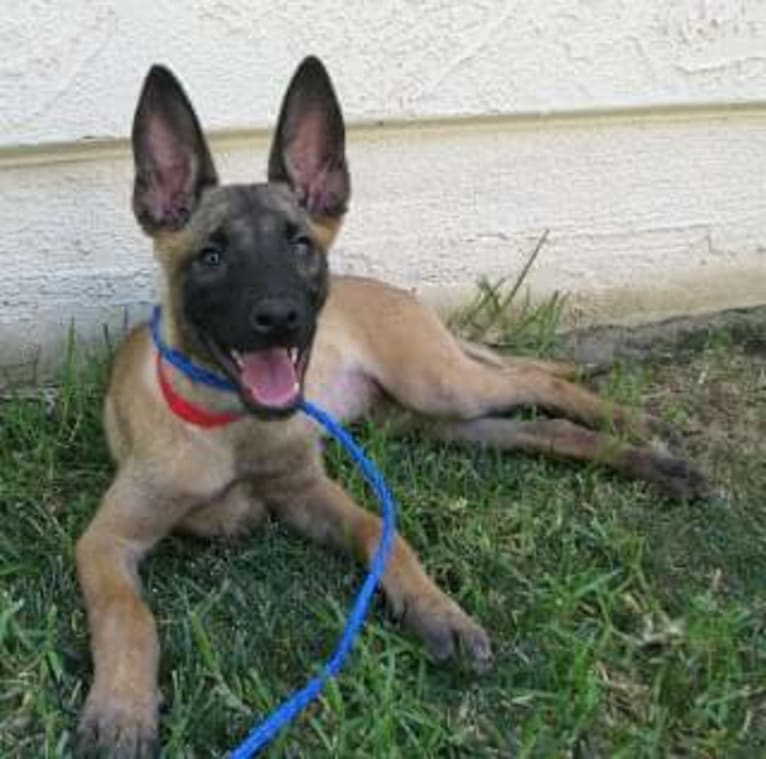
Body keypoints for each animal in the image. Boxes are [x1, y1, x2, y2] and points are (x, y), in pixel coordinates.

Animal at [75, 56, 712, 756]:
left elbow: (383, 533)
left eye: (300, 244)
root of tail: (395, 293)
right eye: (211, 256)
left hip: (439, 382)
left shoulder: (308, 493)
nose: (282, 318)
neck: (234, 425)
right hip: (436, 420)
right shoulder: (105, 540)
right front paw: (123, 708)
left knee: (535, 381)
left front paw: (437, 610)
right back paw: (649, 460)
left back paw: (642, 430)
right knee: (542, 430)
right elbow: (128, 611)